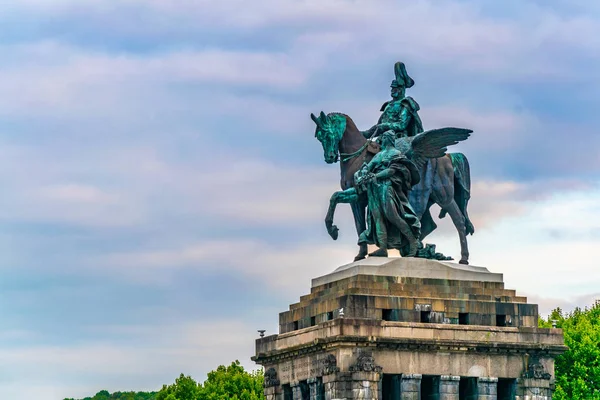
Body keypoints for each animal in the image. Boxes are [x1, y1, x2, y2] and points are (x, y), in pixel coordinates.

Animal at [312, 111, 476, 264]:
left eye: (327, 133)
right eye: (319, 137)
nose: (330, 157)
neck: (357, 156)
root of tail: (448, 156)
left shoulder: (360, 197)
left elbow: (359, 224)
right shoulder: (356, 195)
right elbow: (337, 200)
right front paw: (335, 232)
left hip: (442, 196)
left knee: (459, 220)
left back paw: (463, 258)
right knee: (429, 225)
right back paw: (414, 249)